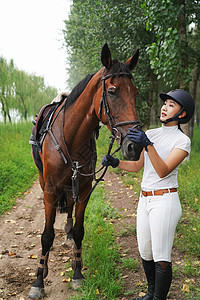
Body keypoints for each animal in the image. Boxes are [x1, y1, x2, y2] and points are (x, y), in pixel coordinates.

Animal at [28, 43, 142, 298]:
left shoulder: (84, 187)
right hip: (44, 181)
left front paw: (77, 272)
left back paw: (68, 234)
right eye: (112, 91)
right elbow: (46, 235)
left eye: (135, 91)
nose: (135, 145)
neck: (70, 137)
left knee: (70, 207)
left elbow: (80, 230)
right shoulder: (50, 190)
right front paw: (39, 279)